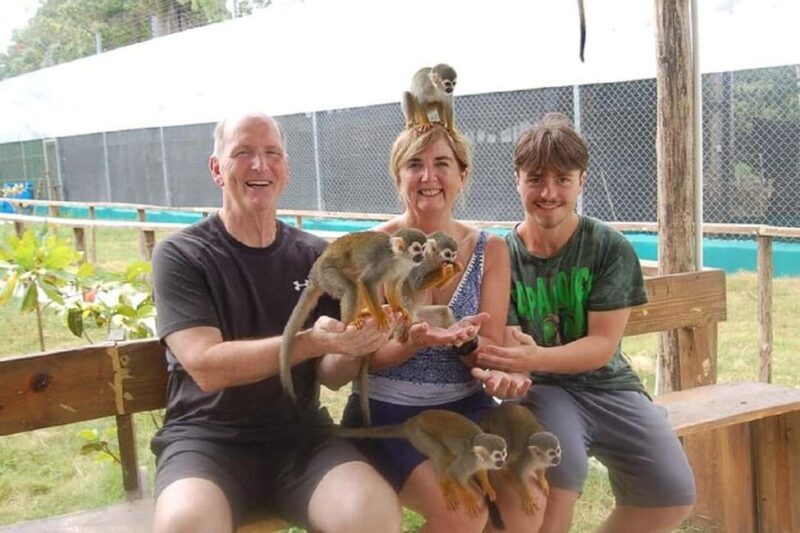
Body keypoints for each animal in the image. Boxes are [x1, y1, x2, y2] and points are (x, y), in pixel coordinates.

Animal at [279, 228, 427, 405]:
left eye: (424, 248)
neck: (399, 258)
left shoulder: (403, 269)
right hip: (328, 274)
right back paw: (350, 321)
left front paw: (399, 308)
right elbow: (367, 282)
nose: (422, 257)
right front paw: (380, 315)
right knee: (353, 287)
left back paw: (362, 313)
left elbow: (392, 284)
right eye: (417, 249)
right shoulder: (383, 262)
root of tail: (315, 274)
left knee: (356, 281)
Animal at [338, 409, 508, 515]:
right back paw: (444, 487)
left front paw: (487, 486)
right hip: (420, 437)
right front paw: (468, 499)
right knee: (440, 452)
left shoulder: (478, 463)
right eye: (497, 456)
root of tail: (409, 423)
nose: (503, 463)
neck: (478, 457)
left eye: (504, 454)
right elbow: (453, 473)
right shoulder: (469, 461)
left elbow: (481, 471)